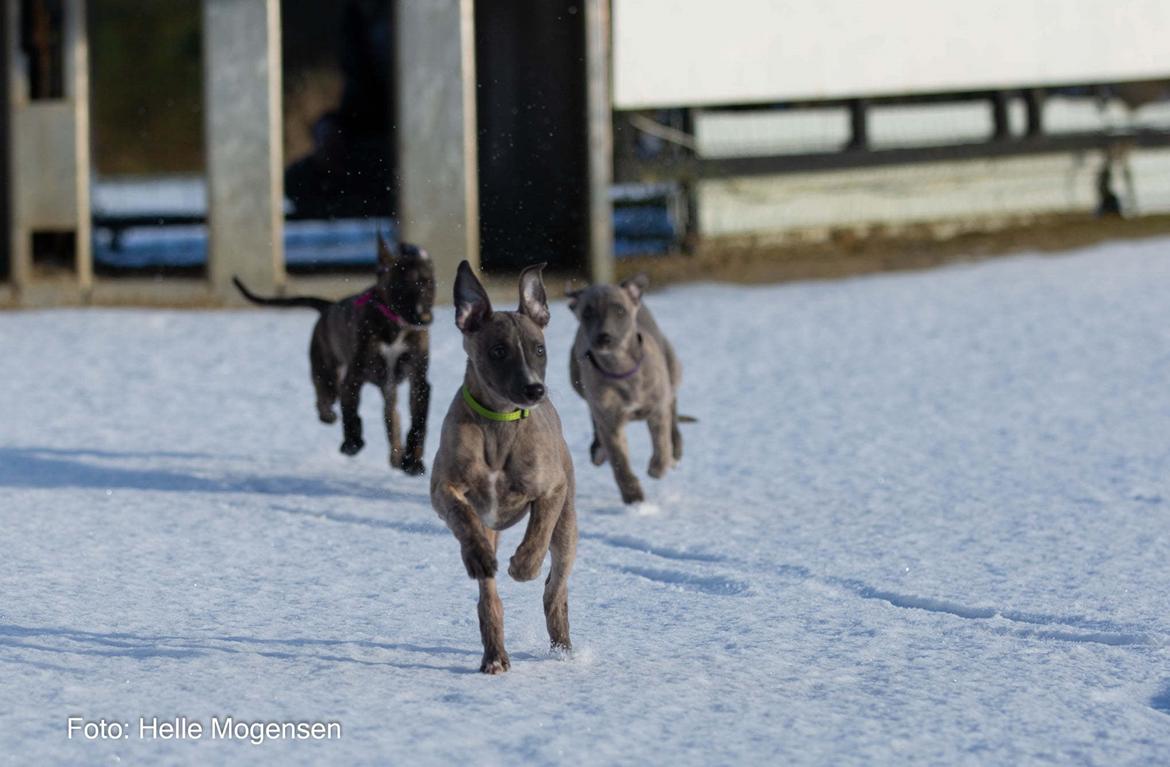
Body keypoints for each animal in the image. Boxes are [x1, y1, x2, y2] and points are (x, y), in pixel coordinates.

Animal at [232, 233, 435, 472]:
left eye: (430, 284)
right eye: (402, 286)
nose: (425, 318)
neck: (395, 326)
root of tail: (328, 307)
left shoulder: (418, 379)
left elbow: (418, 423)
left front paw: (413, 462)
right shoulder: (354, 376)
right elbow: (351, 413)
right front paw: (352, 443)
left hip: (387, 387)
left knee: (391, 416)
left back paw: (396, 456)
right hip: (326, 371)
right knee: (325, 400)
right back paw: (330, 416)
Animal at [430, 260, 575, 673]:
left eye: (539, 349)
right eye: (498, 351)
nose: (534, 390)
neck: (500, 423)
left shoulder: (553, 489)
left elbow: (537, 534)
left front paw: (522, 566)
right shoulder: (442, 488)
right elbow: (462, 516)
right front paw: (477, 556)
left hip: (568, 527)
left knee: (555, 587)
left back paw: (563, 649)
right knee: (489, 600)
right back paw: (495, 655)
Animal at [566, 275, 683, 502]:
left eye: (620, 310)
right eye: (587, 312)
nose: (604, 337)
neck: (620, 368)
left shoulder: (657, 410)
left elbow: (661, 443)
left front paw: (657, 467)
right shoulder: (611, 421)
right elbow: (620, 461)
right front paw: (633, 496)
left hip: (672, 368)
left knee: (673, 405)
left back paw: (675, 449)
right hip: (577, 381)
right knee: (593, 416)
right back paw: (598, 450)